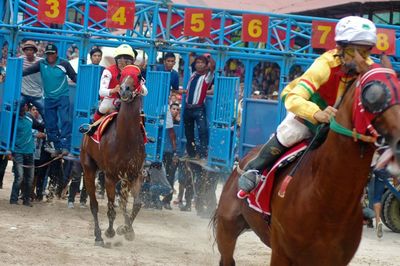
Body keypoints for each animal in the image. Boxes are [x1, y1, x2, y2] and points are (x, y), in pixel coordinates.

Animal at [80, 66, 145, 245]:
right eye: (121, 75)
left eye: (138, 76)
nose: (124, 90)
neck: (126, 139)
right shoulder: (110, 176)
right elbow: (110, 209)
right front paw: (110, 232)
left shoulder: (134, 174)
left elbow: (136, 203)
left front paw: (127, 230)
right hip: (88, 168)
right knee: (94, 204)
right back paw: (98, 236)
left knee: (122, 203)